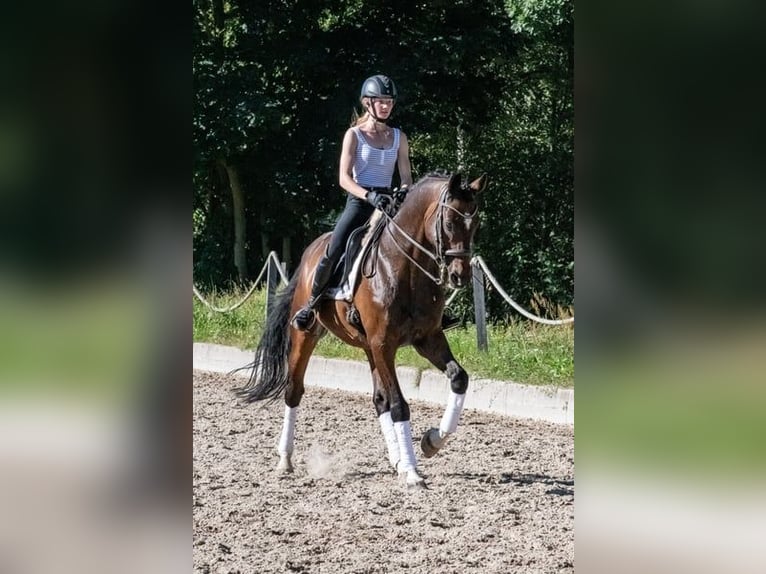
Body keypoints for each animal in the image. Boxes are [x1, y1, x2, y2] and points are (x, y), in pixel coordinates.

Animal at [240, 173, 488, 488]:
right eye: (449, 222)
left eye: (475, 223)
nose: (460, 276)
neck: (405, 268)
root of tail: (313, 249)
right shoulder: (384, 343)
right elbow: (399, 405)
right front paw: (413, 472)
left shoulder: (427, 339)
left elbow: (459, 379)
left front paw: (431, 442)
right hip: (307, 334)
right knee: (294, 390)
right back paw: (285, 459)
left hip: (370, 347)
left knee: (380, 400)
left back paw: (397, 460)